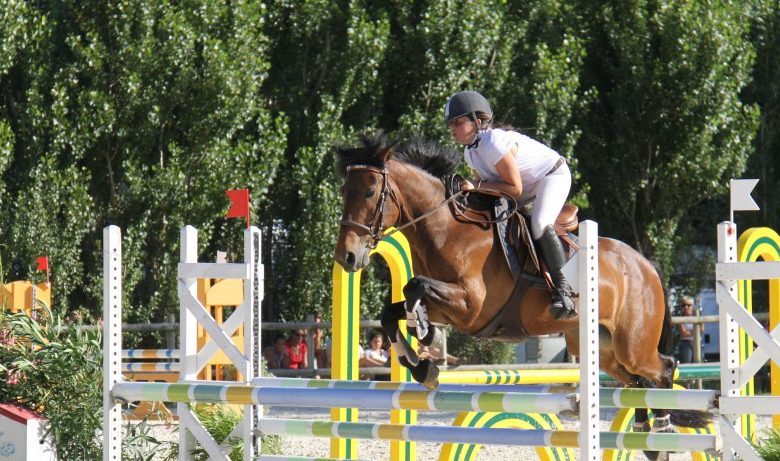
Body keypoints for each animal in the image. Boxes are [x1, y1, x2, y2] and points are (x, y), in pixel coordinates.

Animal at [332, 132, 708, 456]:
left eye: (369, 192)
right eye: (344, 191)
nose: (347, 257)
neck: (446, 229)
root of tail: (644, 264)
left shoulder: (471, 307)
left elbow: (415, 287)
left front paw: (424, 335)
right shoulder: (450, 308)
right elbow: (391, 312)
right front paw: (422, 365)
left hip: (633, 344)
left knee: (662, 369)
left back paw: (662, 429)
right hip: (603, 348)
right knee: (636, 381)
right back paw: (647, 435)